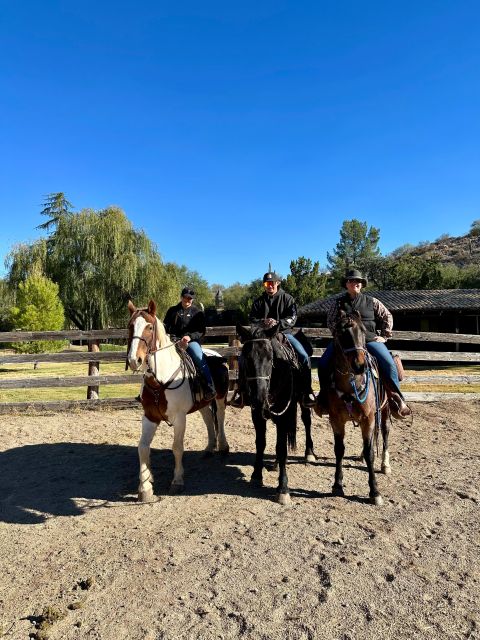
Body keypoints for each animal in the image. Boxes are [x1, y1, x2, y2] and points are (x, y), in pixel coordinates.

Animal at [126, 298, 230, 502]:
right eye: (130, 326)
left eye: (150, 327)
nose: (135, 360)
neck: (160, 380)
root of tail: (217, 355)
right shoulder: (149, 417)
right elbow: (143, 448)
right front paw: (145, 487)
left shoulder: (180, 418)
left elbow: (177, 447)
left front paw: (177, 480)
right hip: (202, 403)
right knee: (208, 419)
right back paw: (209, 448)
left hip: (221, 397)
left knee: (220, 417)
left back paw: (223, 446)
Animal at [236, 324, 300, 504]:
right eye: (247, 358)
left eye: (270, 358)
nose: (259, 396)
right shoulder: (257, 413)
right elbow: (260, 443)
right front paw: (256, 475)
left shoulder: (284, 415)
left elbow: (281, 448)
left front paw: (283, 488)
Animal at [316, 310, 392, 504]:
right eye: (341, 333)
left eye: (363, 331)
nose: (359, 365)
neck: (351, 385)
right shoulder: (336, 420)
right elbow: (339, 450)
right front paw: (337, 484)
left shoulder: (369, 419)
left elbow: (370, 452)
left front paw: (375, 491)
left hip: (384, 410)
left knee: (385, 432)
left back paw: (385, 464)